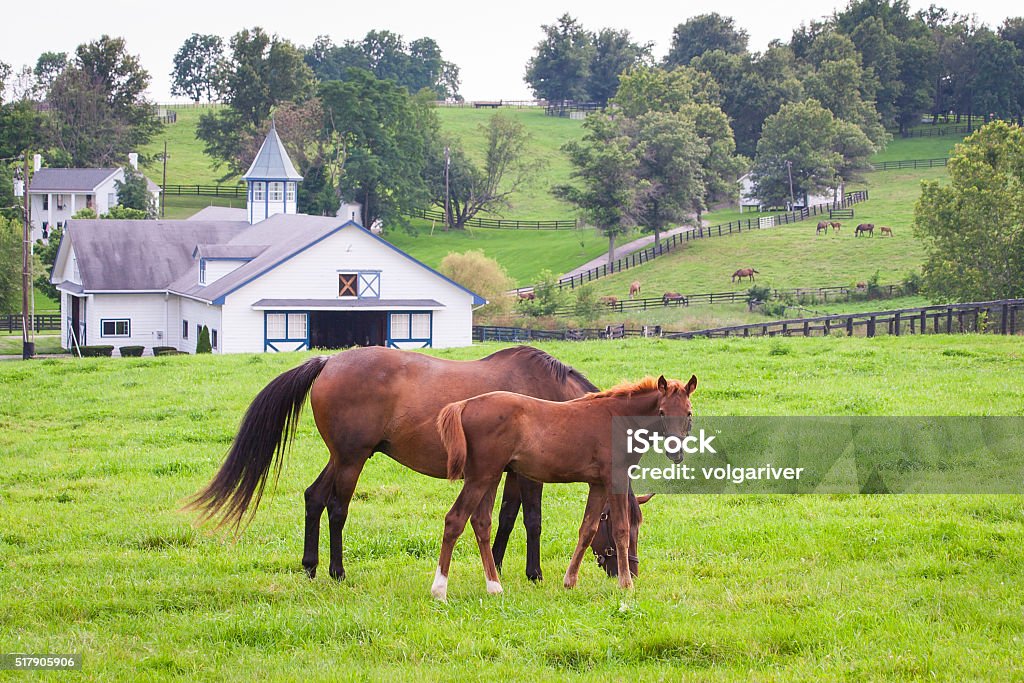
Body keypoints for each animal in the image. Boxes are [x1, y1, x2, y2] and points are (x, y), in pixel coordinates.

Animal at [432, 374, 696, 602]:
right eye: (661, 412)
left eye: (689, 413)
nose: (675, 453)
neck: (618, 418)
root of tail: (464, 405)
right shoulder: (616, 478)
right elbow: (620, 530)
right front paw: (626, 585)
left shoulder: (598, 485)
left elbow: (587, 529)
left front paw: (570, 581)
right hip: (480, 477)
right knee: (455, 520)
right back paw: (440, 591)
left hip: (491, 477)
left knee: (481, 523)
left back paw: (494, 587)